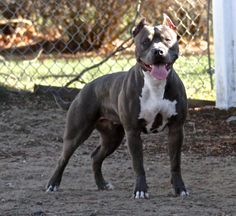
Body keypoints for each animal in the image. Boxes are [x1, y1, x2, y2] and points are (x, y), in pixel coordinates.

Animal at [47, 14, 189, 198]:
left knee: (96, 157)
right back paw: (52, 184)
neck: (155, 84)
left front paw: (179, 188)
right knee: (63, 159)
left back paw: (101, 184)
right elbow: (138, 165)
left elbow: (175, 163)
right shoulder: (132, 132)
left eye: (167, 40)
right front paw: (140, 190)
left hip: (112, 137)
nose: (158, 51)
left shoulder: (176, 129)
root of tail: (84, 88)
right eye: (145, 41)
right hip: (76, 133)